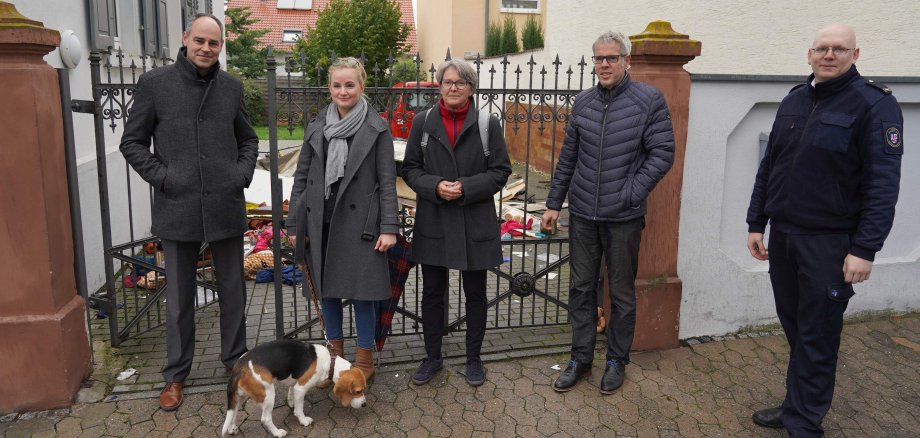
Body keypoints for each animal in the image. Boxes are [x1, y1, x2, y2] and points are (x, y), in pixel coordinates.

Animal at [220, 338, 366, 434]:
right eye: (358, 391)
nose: (364, 404)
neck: (330, 362)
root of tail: (239, 367)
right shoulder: (301, 388)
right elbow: (299, 409)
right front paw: (303, 420)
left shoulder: (294, 383)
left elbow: (291, 392)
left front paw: (291, 402)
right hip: (268, 395)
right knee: (265, 419)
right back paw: (278, 433)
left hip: (239, 396)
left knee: (233, 412)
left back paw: (232, 428)